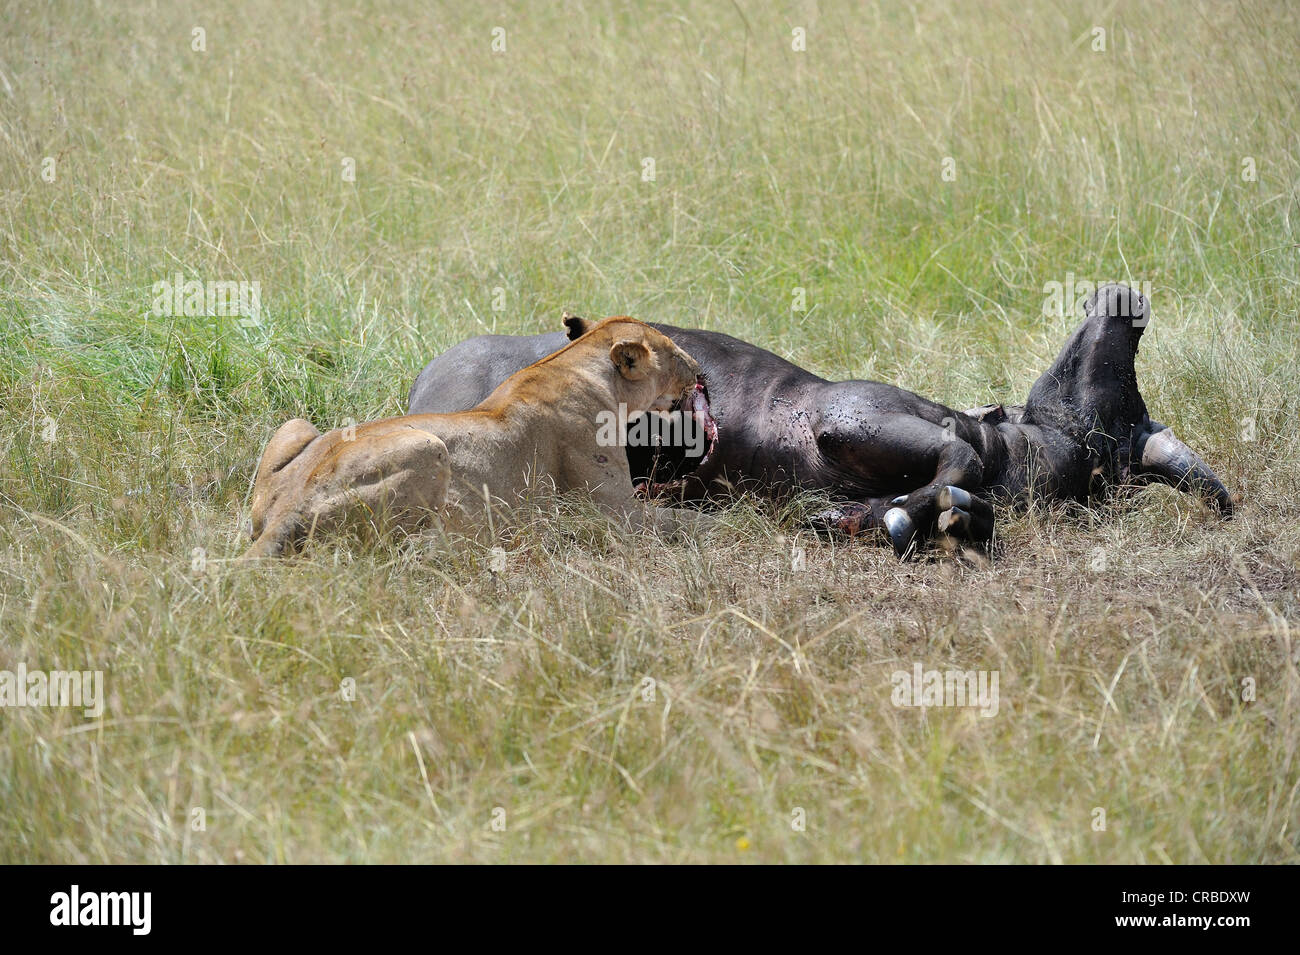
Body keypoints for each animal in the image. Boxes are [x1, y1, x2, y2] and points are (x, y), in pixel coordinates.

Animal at [241, 315, 716, 558]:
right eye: (675, 353)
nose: (700, 370)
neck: (575, 364)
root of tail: (285, 512)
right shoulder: (614, 512)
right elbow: (689, 521)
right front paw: (731, 524)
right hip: (426, 446)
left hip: (297, 426)